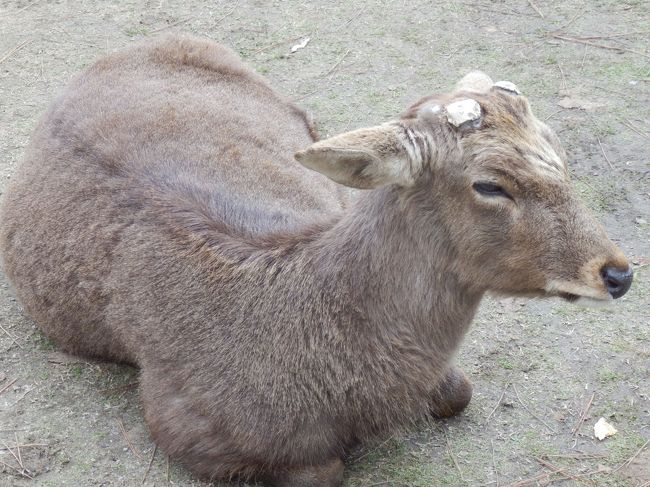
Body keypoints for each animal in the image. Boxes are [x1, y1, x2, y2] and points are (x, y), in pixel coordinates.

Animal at [0, 36, 628, 486]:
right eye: (491, 185)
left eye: (558, 149)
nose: (618, 272)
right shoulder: (180, 419)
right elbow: (324, 470)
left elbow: (460, 391)